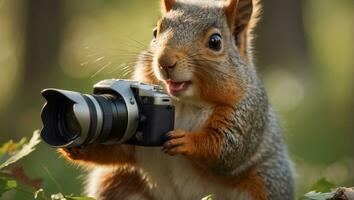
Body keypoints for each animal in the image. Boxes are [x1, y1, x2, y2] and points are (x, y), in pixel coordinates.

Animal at [59, 0, 294, 200]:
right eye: (155, 32)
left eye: (215, 42)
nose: (165, 61)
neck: (181, 104)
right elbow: (117, 149)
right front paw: (79, 146)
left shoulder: (247, 113)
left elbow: (228, 148)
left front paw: (187, 141)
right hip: (117, 181)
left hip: (265, 183)